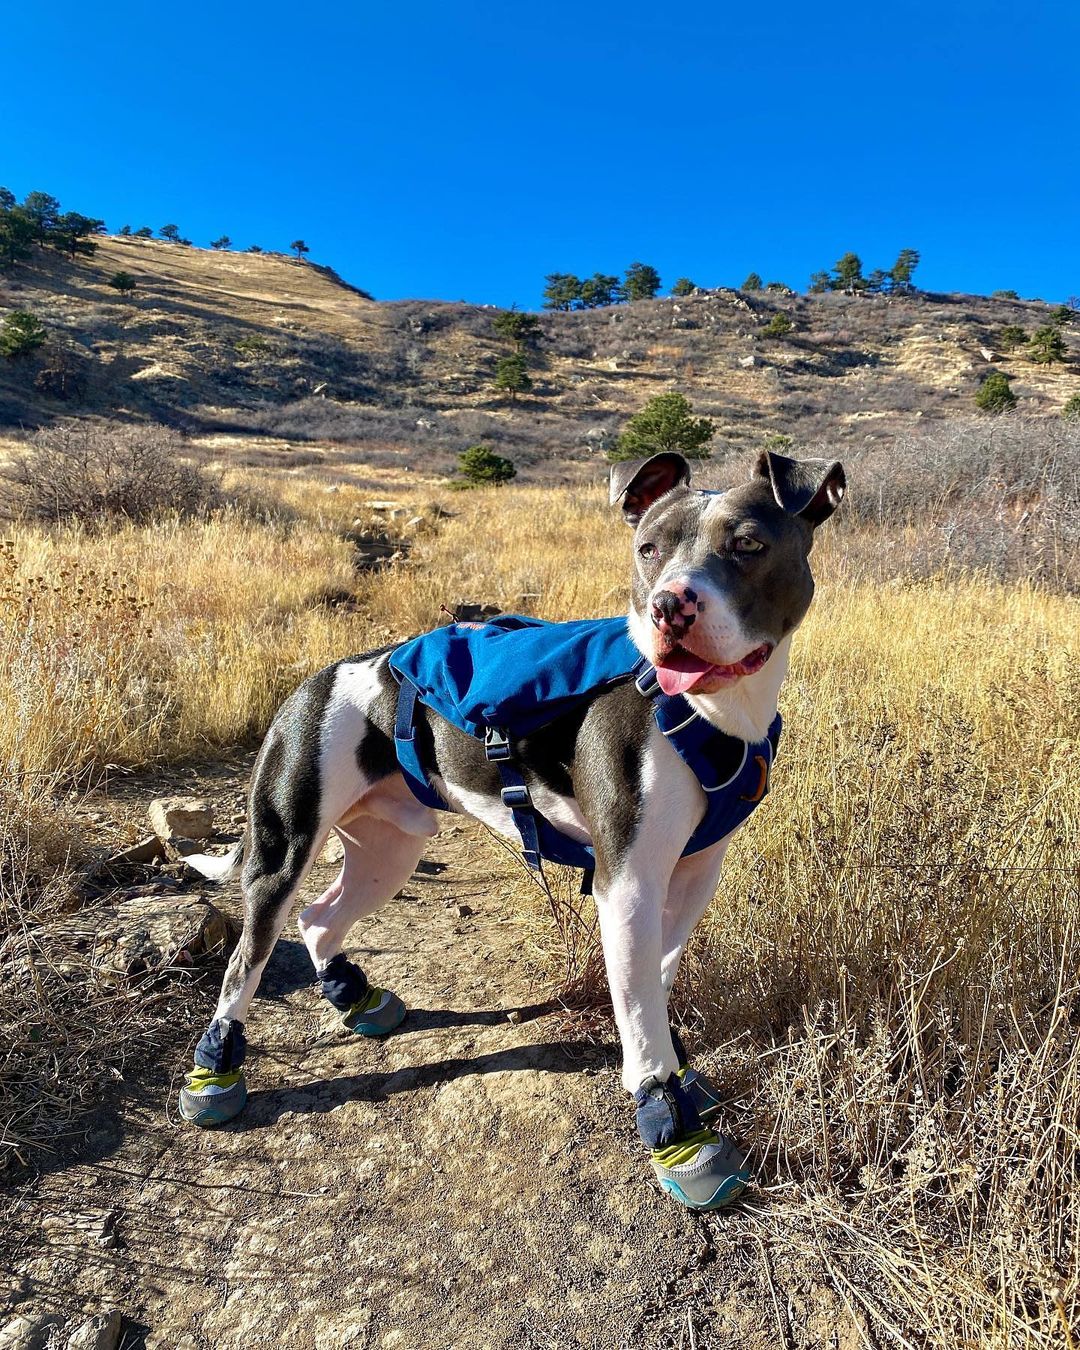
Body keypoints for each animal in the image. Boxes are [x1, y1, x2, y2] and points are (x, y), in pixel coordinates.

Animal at [180, 445, 842, 1215]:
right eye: (647, 549)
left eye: (748, 546)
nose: (669, 605)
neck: (713, 715)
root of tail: (319, 681)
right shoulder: (627, 884)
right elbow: (640, 1012)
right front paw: (671, 1128)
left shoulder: (692, 875)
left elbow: (654, 983)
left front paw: (675, 1071)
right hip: (284, 848)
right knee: (245, 963)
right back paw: (216, 1073)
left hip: (389, 849)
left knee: (320, 917)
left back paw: (354, 995)